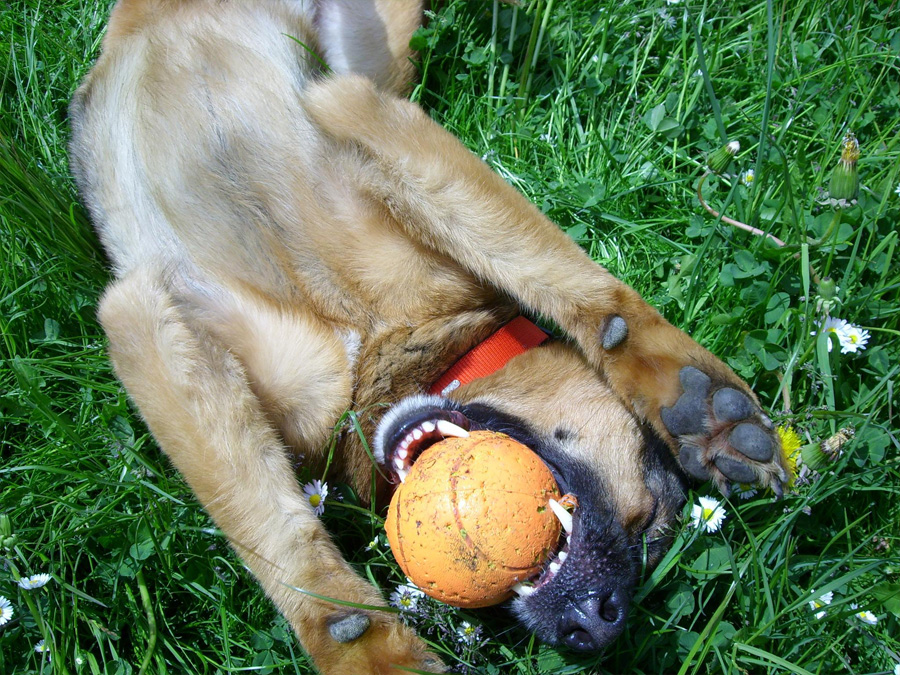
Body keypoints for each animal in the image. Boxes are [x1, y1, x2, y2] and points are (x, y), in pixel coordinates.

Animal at [70, 2, 788, 672]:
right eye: (648, 520)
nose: (600, 625)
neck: (384, 338)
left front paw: (696, 408)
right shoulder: (146, 311)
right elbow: (275, 534)